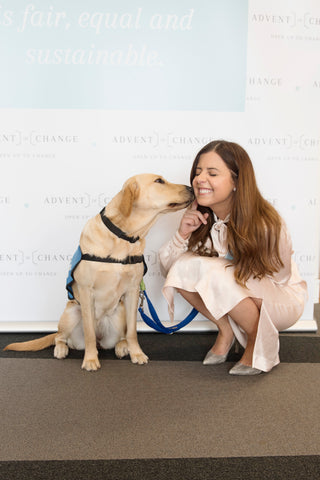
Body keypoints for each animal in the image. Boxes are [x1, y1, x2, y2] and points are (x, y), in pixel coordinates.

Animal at [4, 173, 192, 372]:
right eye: (159, 181)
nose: (191, 188)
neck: (123, 236)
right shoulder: (86, 291)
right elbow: (89, 332)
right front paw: (90, 359)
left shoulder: (133, 291)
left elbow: (132, 331)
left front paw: (137, 353)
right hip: (71, 313)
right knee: (60, 337)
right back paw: (62, 349)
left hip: (119, 313)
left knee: (121, 336)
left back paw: (122, 347)